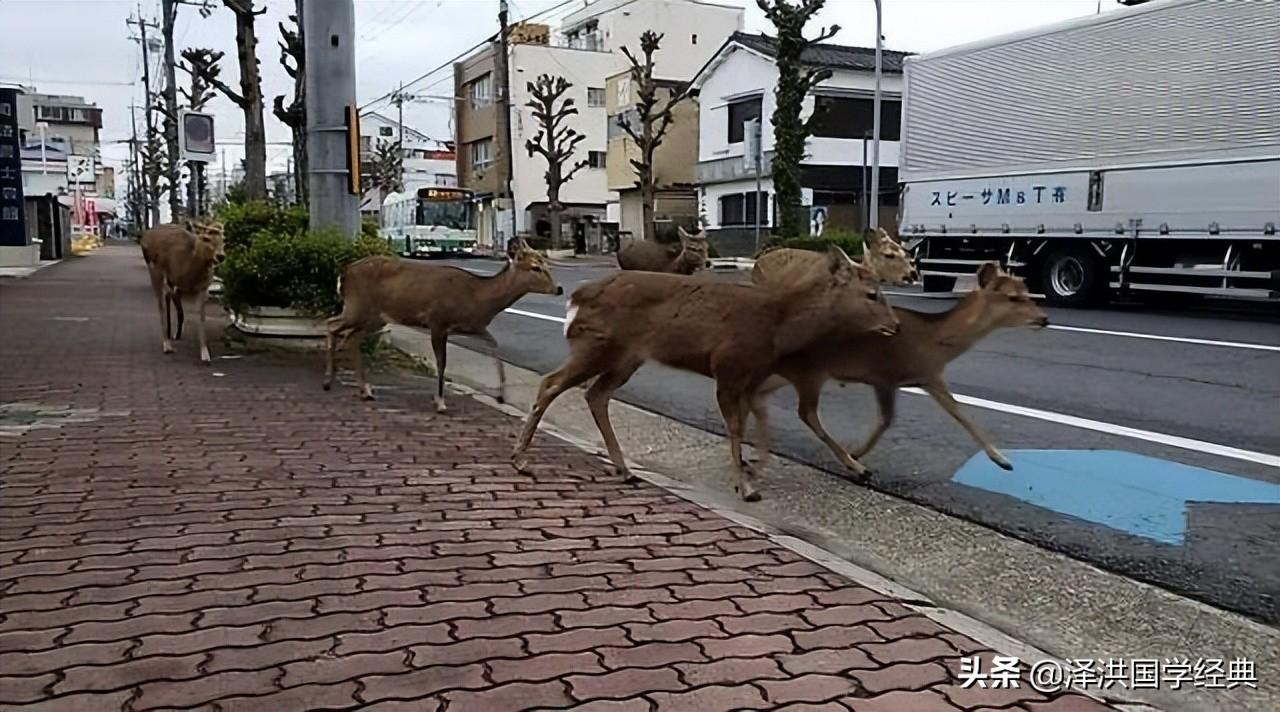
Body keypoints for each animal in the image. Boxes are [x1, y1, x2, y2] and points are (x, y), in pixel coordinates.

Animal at [142, 216, 227, 363]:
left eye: (224, 239)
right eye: (206, 238)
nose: (220, 256)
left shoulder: (203, 287)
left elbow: (200, 316)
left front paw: (205, 354)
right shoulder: (168, 280)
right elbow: (166, 307)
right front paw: (168, 343)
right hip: (154, 270)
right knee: (161, 303)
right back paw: (167, 341)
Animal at [320, 240, 560, 412]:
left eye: (546, 264)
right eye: (535, 267)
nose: (559, 288)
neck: (478, 296)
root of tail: (344, 273)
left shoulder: (473, 327)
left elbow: (494, 346)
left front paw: (501, 395)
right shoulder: (438, 321)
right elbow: (441, 363)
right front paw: (440, 402)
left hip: (375, 317)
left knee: (350, 337)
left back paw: (365, 390)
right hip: (358, 307)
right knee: (331, 324)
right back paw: (328, 381)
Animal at [504, 247, 896, 504]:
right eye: (872, 294)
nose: (895, 324)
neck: (776, 326)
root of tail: (575, 298)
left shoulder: (750, 377)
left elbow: (753, 424)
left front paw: (858, 468)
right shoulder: (728, 365)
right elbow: (735, 427)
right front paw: (747, 487)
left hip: (627, 357)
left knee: (595, 394)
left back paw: (625, 470)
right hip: (597, 345)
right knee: (551, 383)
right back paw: (521, 460)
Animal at [747, 262, 1049, 478]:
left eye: (1028, 292)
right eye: (1013, 297)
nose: (1044, 319)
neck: (932, 341)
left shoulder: (930, 377)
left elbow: (961, 413)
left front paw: (1002, 460)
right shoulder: (884, 375)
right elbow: (887, 419)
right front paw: (857, 454)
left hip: (787, 372)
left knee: (756, 397)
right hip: (810, 370)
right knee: (805, 412)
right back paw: (854, 467)